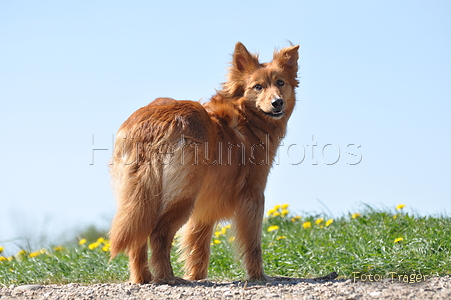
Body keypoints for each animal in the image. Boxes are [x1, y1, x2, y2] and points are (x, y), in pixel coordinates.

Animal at [109, 42, 300, 284]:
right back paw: (168, 278)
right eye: (258, 87)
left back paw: (143, 278)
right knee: (159, 234)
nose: (278, 102)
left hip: (140, 198)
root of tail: (152, 124)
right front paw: (258, 276)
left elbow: (198, 245)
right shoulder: (253, 195)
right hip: (183, 197)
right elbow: (252, 244)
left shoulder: (205, 207)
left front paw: (196, 276)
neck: (247, 118)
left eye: (280, 82)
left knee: (139, 238)